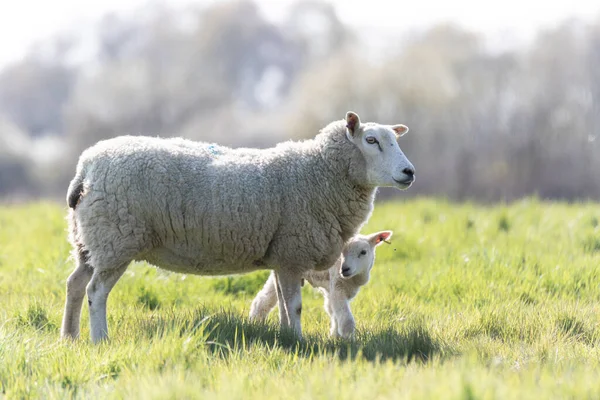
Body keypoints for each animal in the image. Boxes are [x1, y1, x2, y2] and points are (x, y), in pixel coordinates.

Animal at [247, 231, 392, 338]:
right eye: (341, 252)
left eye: (363, 252)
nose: (345, 269)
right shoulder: (337, 286)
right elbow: (346, 319)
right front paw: (349, 340)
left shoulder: (334, 287)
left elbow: (333, 311)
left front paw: (334, 336)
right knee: (264, 299)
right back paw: (255, 322)